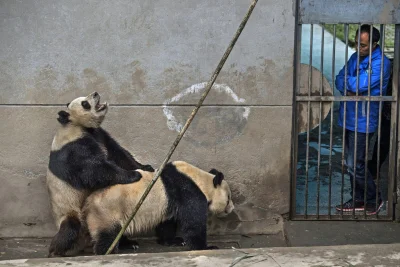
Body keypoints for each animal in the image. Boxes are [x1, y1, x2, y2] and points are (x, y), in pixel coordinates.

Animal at [84, 161, 234, 255]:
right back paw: (108, 252)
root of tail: (88, 202)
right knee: (108, 235)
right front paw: (207, 247)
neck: (200, 180)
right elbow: (193, 223)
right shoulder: (188, 191)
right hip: (108, 212)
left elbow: (167, 222)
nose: (232, 209)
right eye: (228, 198)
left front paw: (173, 241)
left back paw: (130, 244)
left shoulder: (170, 202)